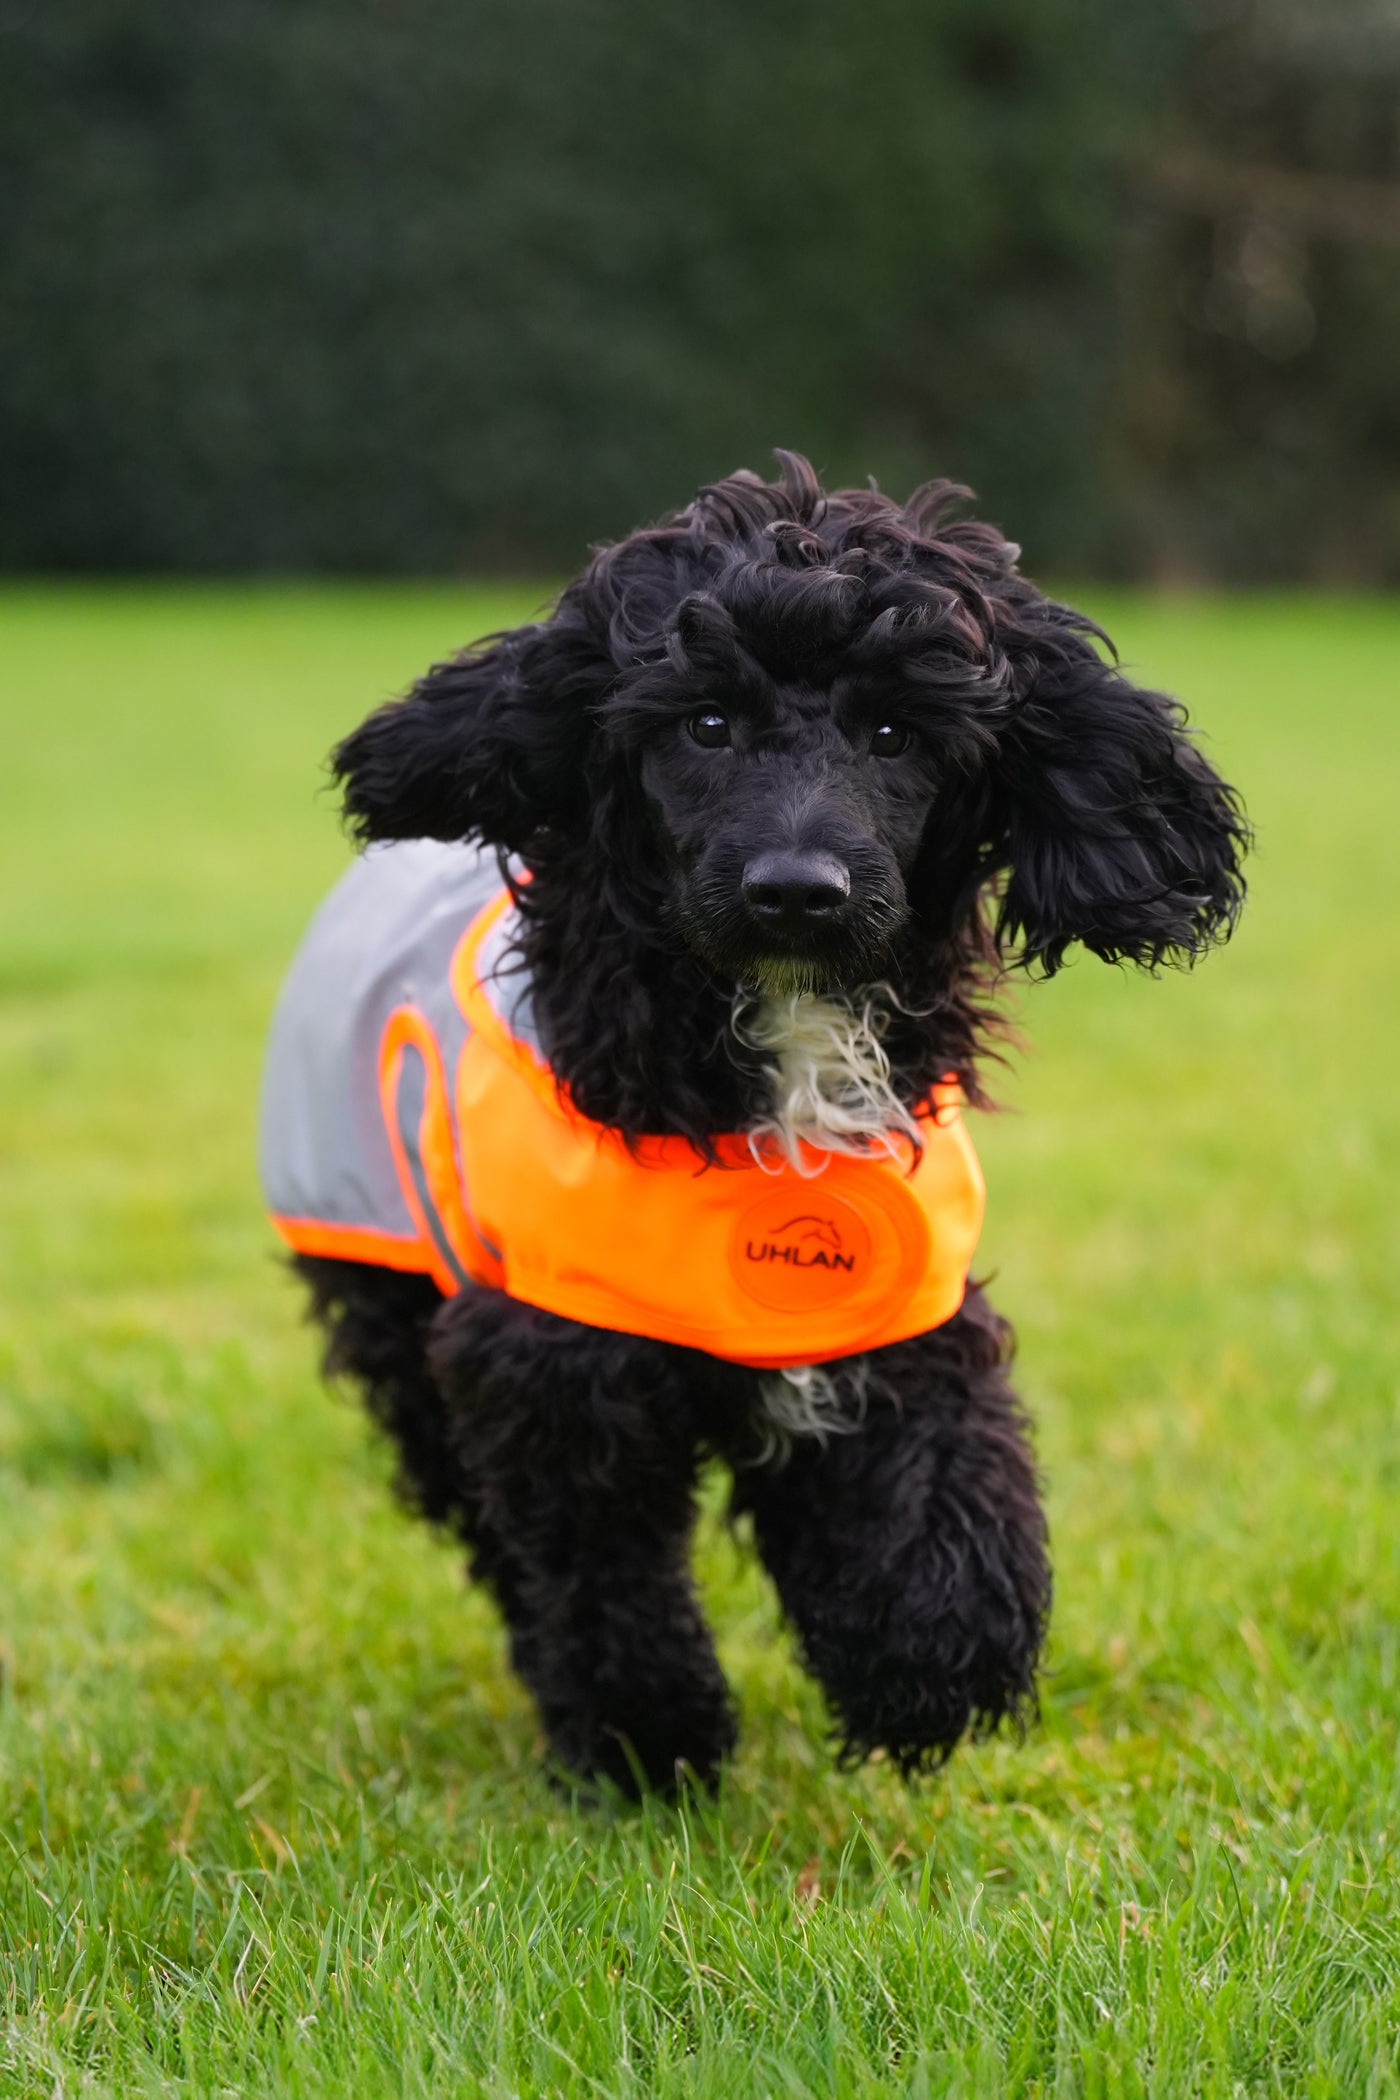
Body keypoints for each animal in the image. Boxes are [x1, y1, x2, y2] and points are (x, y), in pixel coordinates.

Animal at [277, 455, 1250, 1789]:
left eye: (894, 732)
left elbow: (938, 1495)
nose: (796, 889)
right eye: (704, 725)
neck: (779, 1053)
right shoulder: (552, 1358)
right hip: (389, 1291)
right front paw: (644, 1740)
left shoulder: (888, 1303)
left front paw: (925, 1663)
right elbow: (598, 1571)